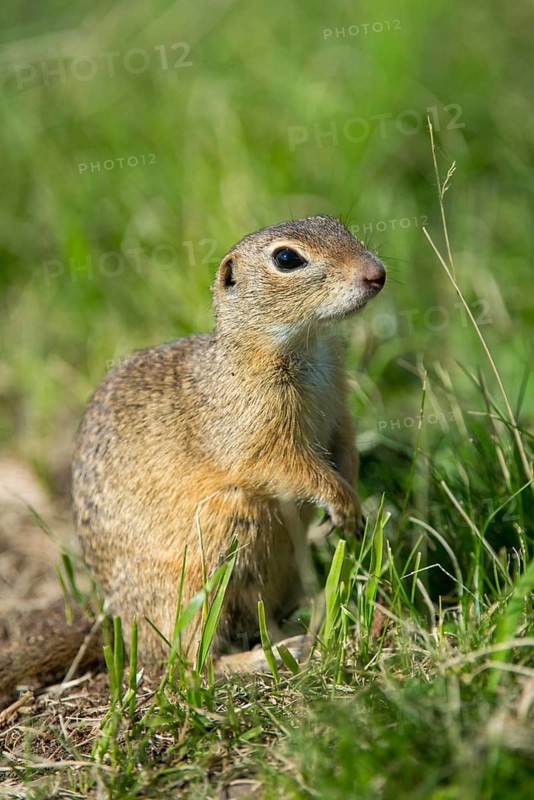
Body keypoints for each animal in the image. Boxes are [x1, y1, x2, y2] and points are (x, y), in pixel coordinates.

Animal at [0, 215, 385, 695]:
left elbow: (345, 445)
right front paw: (342, 503)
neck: (305, 344)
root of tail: (119, 629)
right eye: (286, 258)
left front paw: (352, 503)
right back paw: (269, 655)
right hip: (200, 580)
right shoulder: (253, 429)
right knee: (188, 665)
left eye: (337, 224)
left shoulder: (338, 406)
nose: (376, 273)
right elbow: (287, 467)